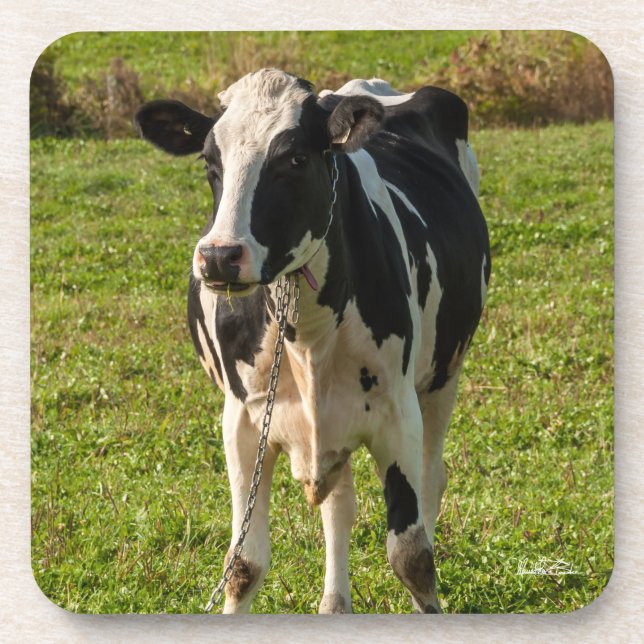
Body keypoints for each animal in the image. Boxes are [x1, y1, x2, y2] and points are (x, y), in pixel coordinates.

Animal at [135, 68, 490, 614]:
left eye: (296, 158)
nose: (218, 257)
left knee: (432, 479)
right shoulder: (242, 421)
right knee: (339, 506)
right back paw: (334, 604)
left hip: (442, 377)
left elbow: (413, 557)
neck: (306, 332)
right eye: (210, 163)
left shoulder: (397, 415)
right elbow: (243, 564)